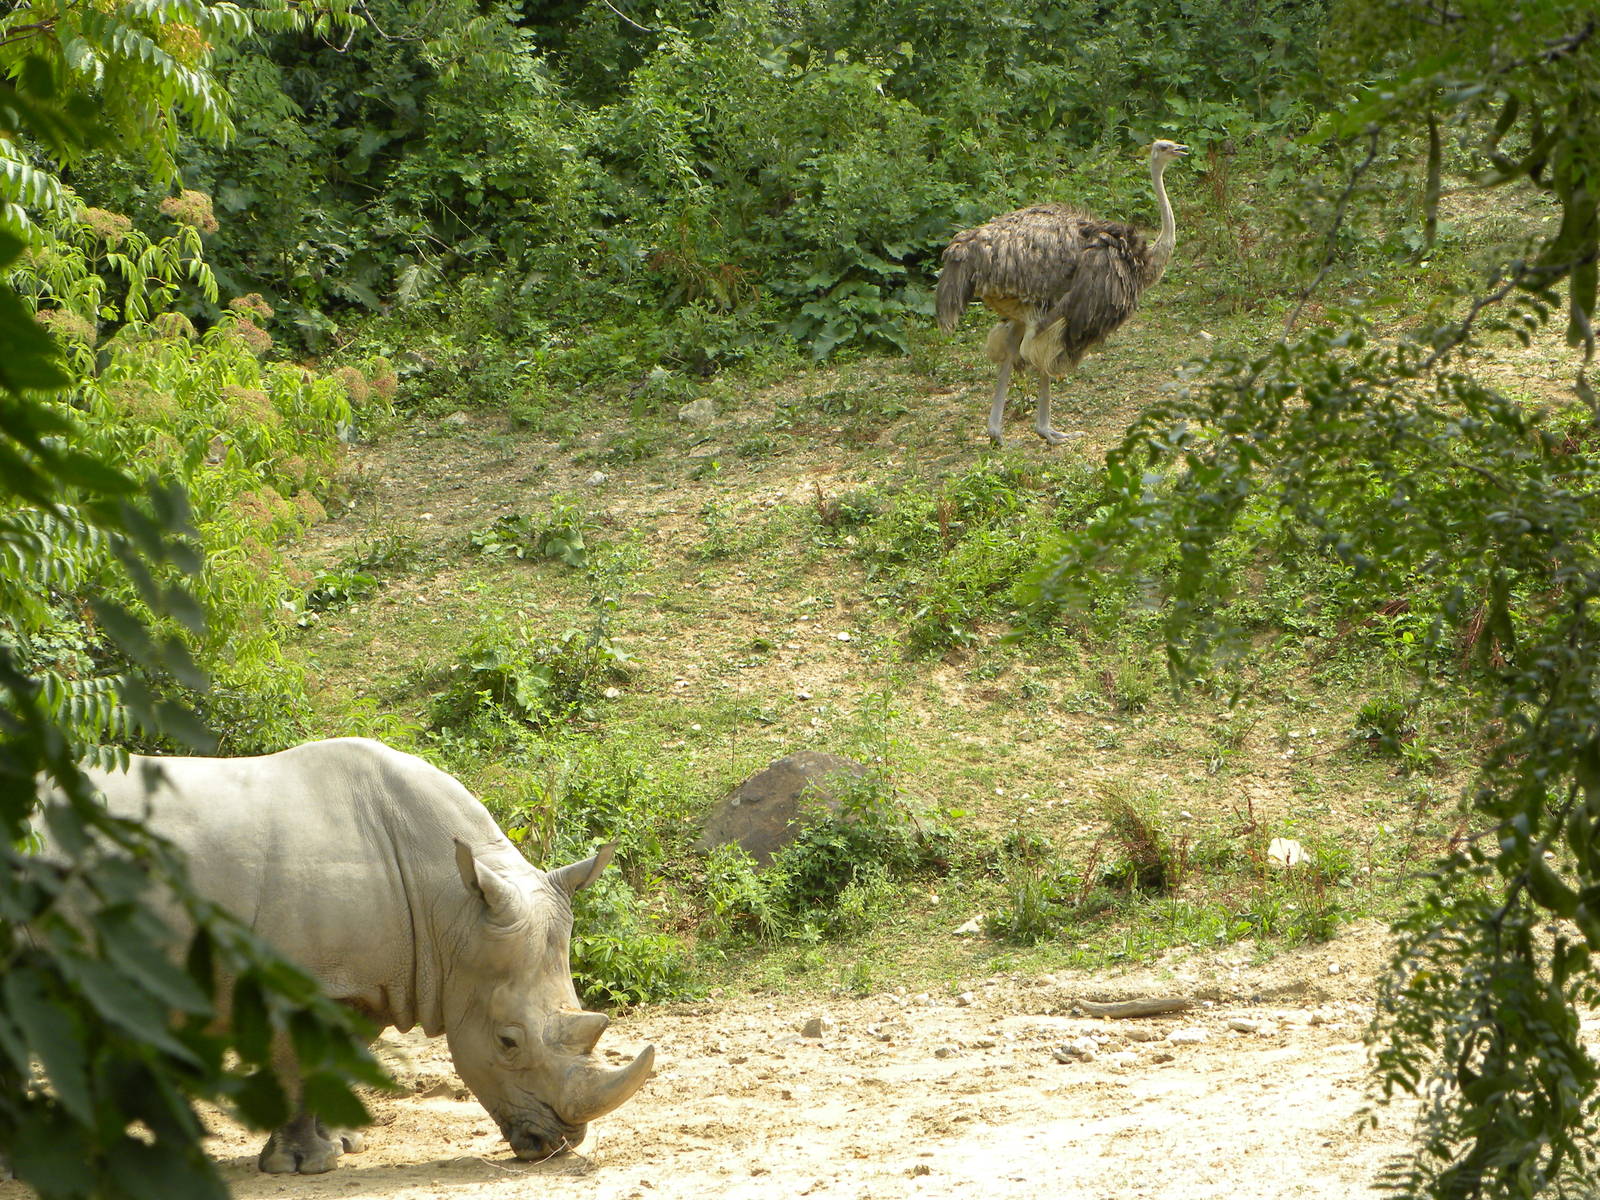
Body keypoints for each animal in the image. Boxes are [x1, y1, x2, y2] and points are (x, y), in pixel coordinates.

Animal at [48, 737, 655, 1173]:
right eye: (508, 1042)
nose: (558, 1144)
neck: (452, 911)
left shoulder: (368, 980)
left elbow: (336, 1059)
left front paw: (341, 1145)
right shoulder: (298, 980)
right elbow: (298, 1064)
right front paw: (300, 1166)